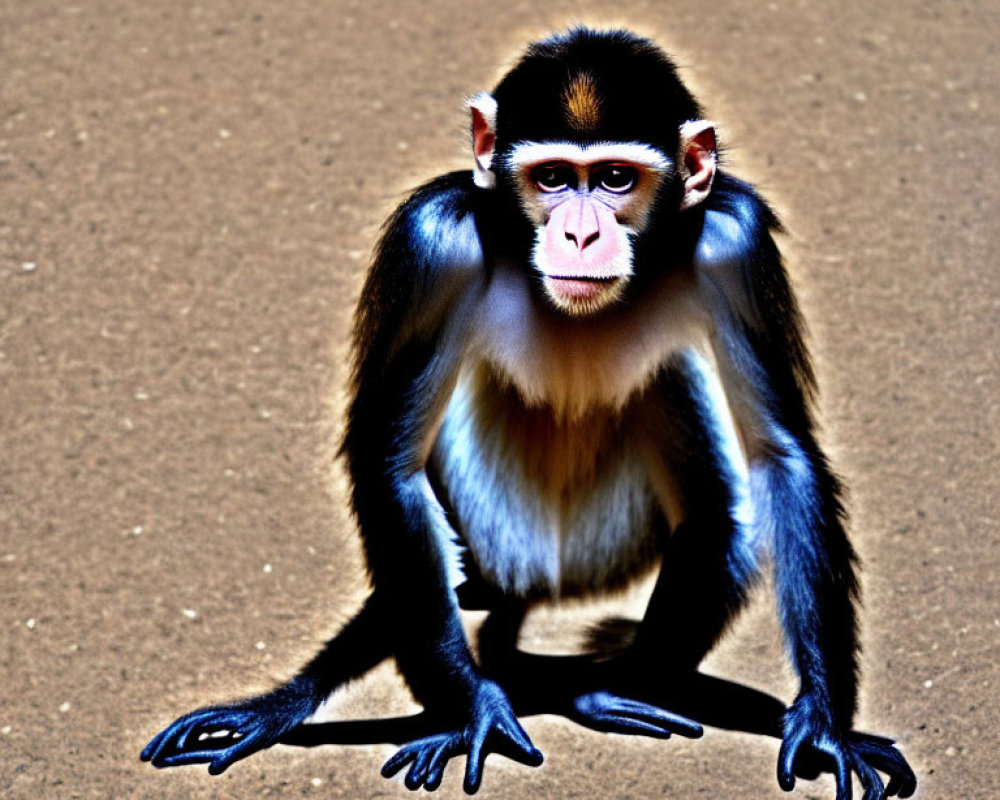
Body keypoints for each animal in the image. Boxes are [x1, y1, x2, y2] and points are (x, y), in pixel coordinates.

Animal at [141, 28, 916, 796]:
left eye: (615, 179)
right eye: (551, 179)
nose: (579, 234)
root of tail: (546, 578)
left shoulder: (736, 241)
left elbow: (783, 454)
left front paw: (825, 721)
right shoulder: (433, 242)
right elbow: (389, 464)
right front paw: (473, 710)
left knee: (714, 515)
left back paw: (604, 691)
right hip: (498, 528)